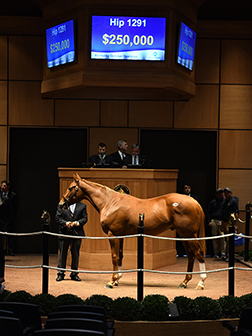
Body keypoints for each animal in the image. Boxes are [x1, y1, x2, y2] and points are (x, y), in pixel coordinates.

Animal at [59, 173, 207, 288]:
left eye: (71, 187)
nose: (61, 204)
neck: (110, 202)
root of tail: (194, 202)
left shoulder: (113, 235)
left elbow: (114, 256)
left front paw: (111, 281)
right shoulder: (120, 236)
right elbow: (120, 256)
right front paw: (117, 279)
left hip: (190, 235)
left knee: (199, 253)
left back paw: (201, 282)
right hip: (183, 235)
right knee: (191, 255)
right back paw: (185, 282)